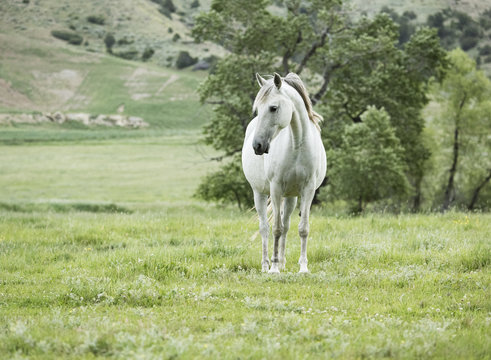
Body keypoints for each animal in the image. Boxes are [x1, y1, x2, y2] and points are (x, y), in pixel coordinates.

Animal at [242, 73, 326, 272]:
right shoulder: (276, 188)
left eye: (273, 108)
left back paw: (282, 262)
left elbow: (302, 228)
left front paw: (303, 268)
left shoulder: (308, 190)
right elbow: (276, 229)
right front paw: (274, 269)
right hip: (260, 193)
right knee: (264, 227)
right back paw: (266, 265)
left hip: (291, 197)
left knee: (286, 225)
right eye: (258, 110)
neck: (297, 144)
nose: (257, 146)